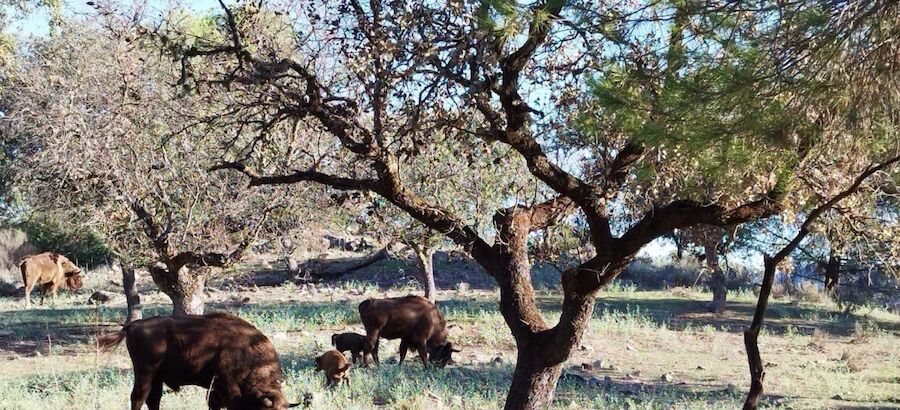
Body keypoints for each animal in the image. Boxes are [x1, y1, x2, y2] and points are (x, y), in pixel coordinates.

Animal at [97, 312, 298, 408]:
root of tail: (133, 325)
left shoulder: (215, 390)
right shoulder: (228, 387)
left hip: (156, 377)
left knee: (153, 399)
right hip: (145, 372)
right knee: (138, 398)